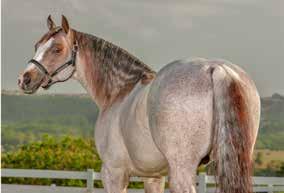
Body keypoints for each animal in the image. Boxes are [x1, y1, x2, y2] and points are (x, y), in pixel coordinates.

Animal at [18, 15, 260, 193]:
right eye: (37, 45)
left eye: (57, 49)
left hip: (182, 170)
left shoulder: (114, 173)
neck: (118, 91)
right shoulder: (154, 177)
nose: (24, 79)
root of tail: (217, 69)